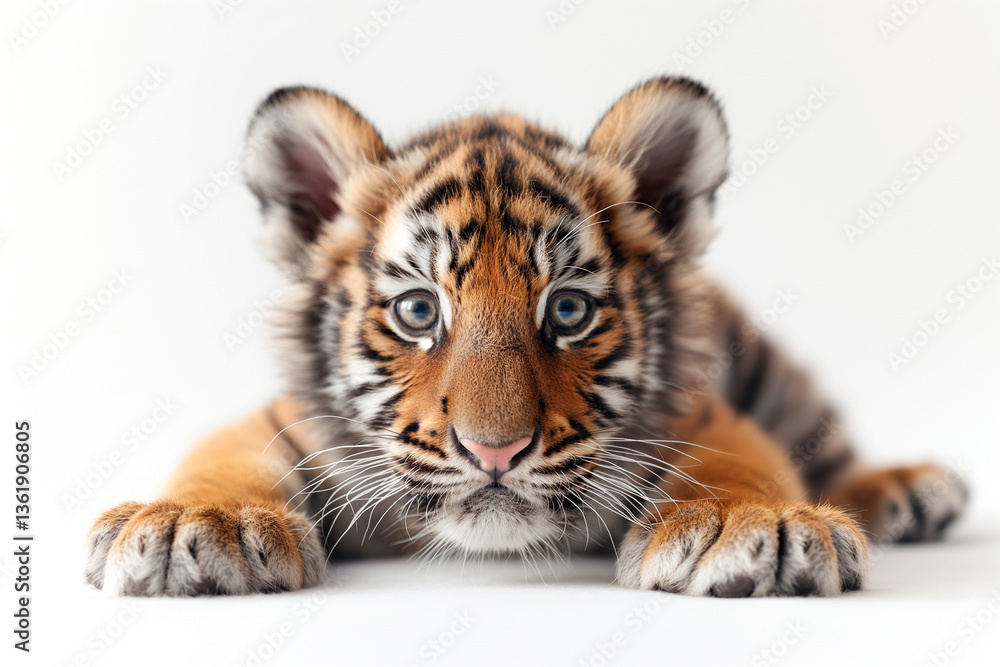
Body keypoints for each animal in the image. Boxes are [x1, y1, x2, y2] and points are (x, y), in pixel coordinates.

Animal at [85, 77, 968, 598]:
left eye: (568, 311)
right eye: (418, 312)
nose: (495, 451)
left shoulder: (699, 411)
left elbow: (740, 455)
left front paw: (755, 523)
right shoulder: (283, 423)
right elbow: (221, 458)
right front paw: (190, 523)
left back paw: (904, 490)